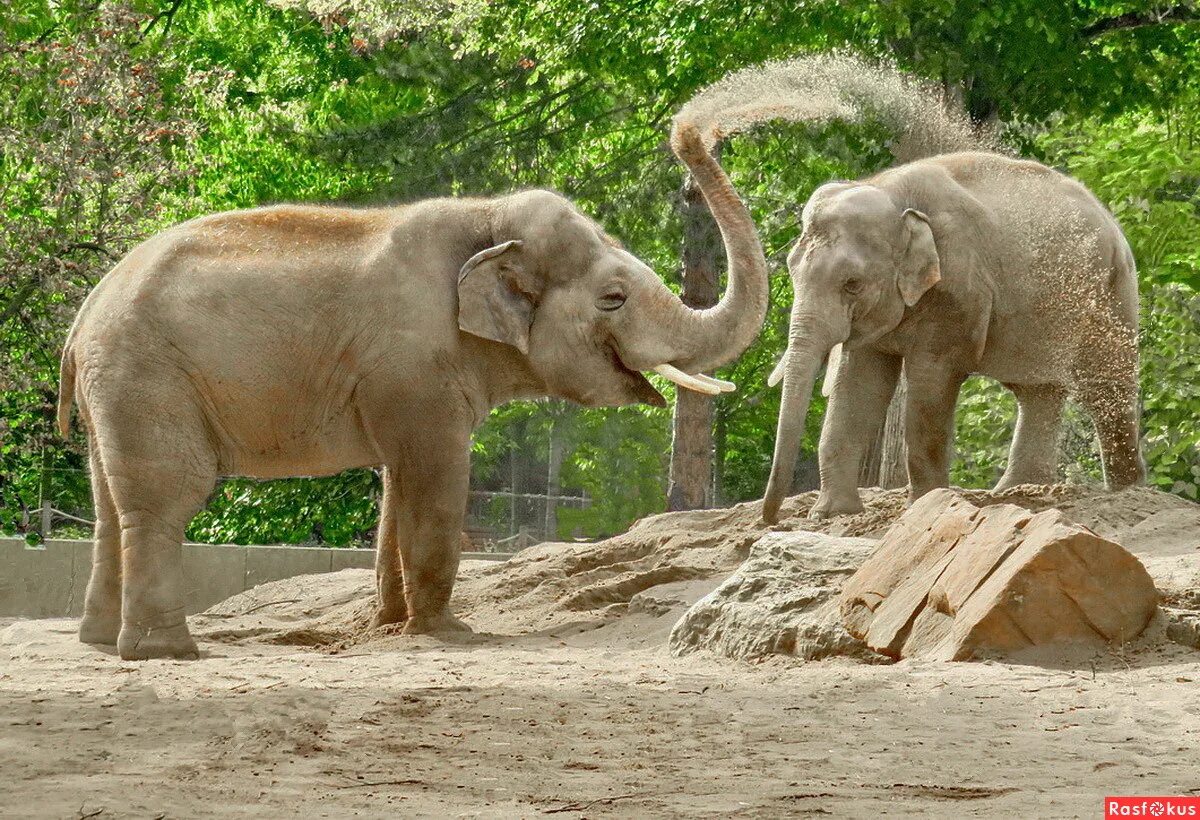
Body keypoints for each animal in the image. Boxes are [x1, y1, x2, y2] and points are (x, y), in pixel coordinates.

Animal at [58, 123, 768, 662]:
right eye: (613, 298)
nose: (693, 135)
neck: (485, 217)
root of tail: (86, 311)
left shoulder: (398, 384)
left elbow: (399, 485)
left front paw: (390, 627)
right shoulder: (415, 368)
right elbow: (434, 478)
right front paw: (447, 633)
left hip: (112, 386)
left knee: (108, 503)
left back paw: (98, 641)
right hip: (147, 375)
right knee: (165, 496)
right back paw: (165, 653)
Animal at [758, 150, 1142, 523]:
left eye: (852, 284)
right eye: (791, 271)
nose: (771, 520)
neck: (891, 192)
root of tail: (1112, 222)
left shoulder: (959, 287)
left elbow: (932, 381)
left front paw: (925, 504)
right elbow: (859, 386)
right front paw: (832, 513)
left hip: (1113, 291)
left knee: (1106, 386)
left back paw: (1127, 490)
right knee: (1039, 390)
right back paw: (1017, 489)